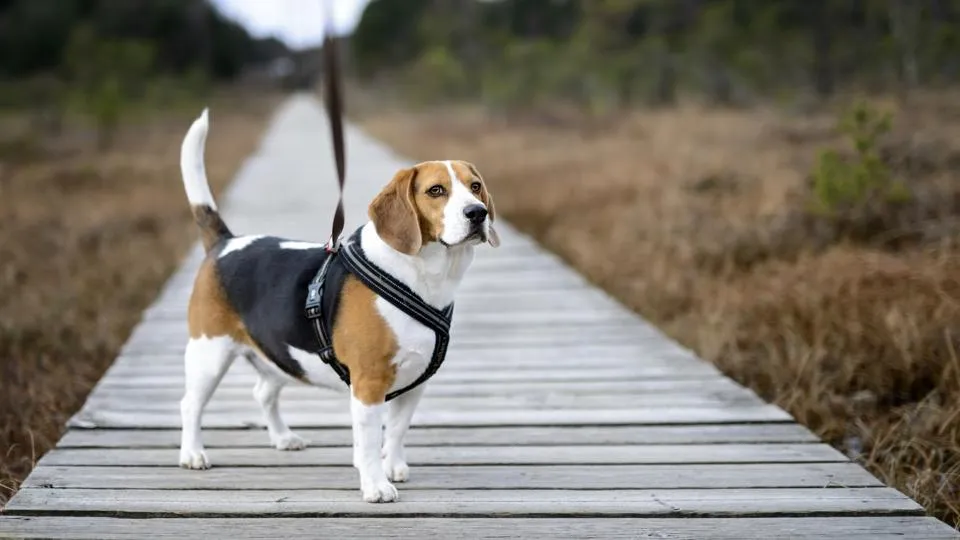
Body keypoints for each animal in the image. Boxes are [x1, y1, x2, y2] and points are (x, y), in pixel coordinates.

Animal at [175, 109, 498, 502]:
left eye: (476, 186)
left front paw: (393, 466)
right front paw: (376, 485)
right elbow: (370, 440)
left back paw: (283, 438)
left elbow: (396, 431)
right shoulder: (369, 383)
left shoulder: (415, 382)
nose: (477, 213)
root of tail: (225, 242)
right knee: (191, 404)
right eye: (436, 191)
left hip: (276, 355)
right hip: (209, 353)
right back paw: (193, 454)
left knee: (263, 392)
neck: (420, 276)